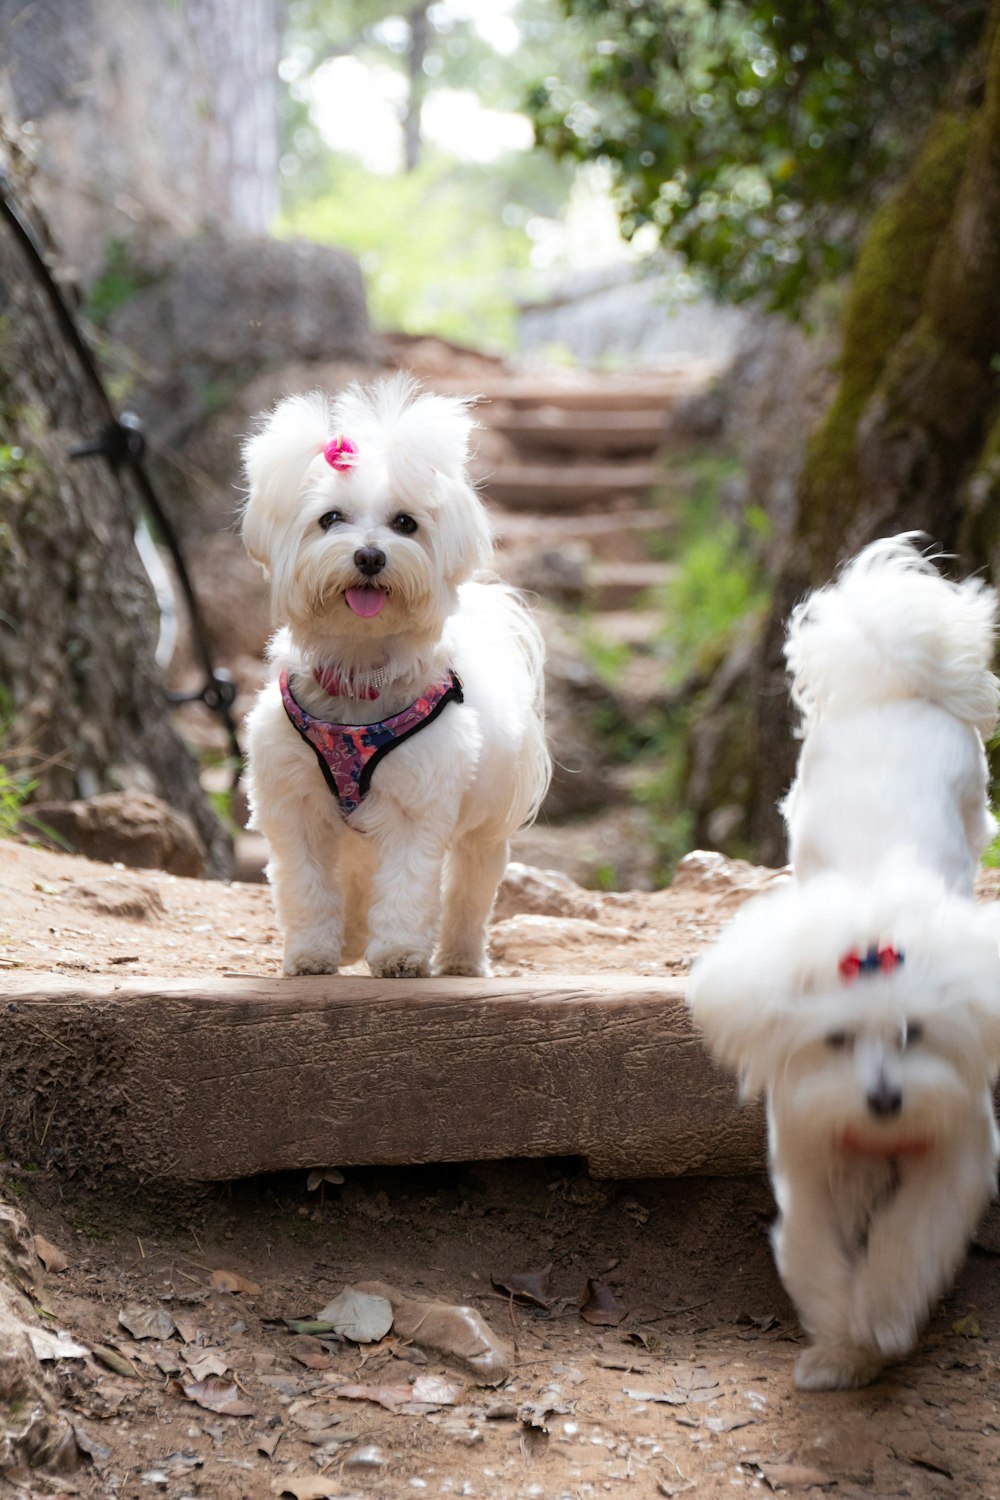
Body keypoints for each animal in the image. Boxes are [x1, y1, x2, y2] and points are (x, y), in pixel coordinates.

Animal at [242, 375, 554, 984]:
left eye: (405, 523)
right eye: (330, 519)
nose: (369, 556)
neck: (360, 668)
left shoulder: (417, 798)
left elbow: (408, 884)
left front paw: (400, 956)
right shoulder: (293, 801)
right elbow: (307, 885)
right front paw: (310, 954)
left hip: (487, 824)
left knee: (470, 888)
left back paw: (459, 958)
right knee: (356, 877)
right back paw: (347, 941)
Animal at [689, 534, 1000, 1386]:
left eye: (915, 1034)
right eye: (833, 1040)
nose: (885, 1100)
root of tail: (891, 681)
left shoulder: (958, 1149)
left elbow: (911, 1237)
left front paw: (882, 1322)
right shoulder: (806, 1147)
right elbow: (814, 1251)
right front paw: (836, 1343)